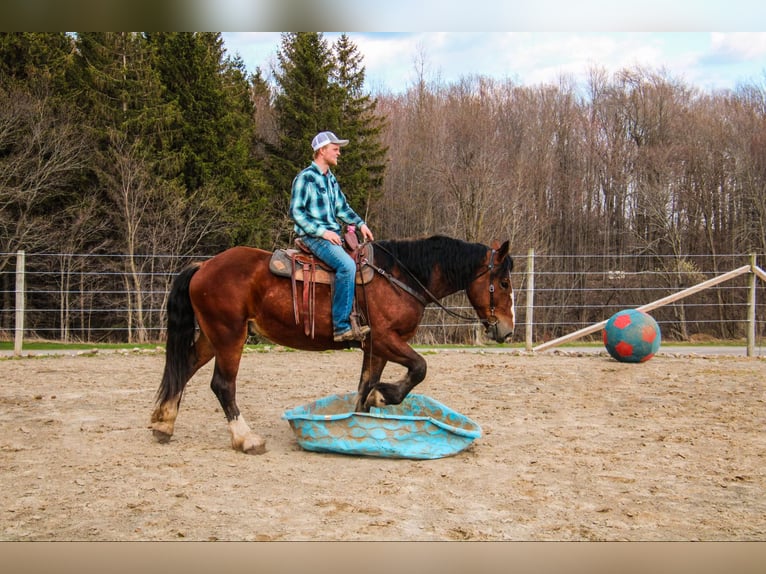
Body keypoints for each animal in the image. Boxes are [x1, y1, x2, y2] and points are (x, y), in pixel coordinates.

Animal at [150, 234, 516, 454]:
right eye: (503, 282)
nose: (508, 330)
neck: (400, 277)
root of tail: (204, 265)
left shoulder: (374, 347)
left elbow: (365, 385)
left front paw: (360, 424)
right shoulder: (386, 338)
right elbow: (419, 368)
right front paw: (386, 395)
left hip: (212, 337)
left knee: (184, 369)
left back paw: (163, 423)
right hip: (229, 336)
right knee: (222, 384)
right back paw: (246, 438)